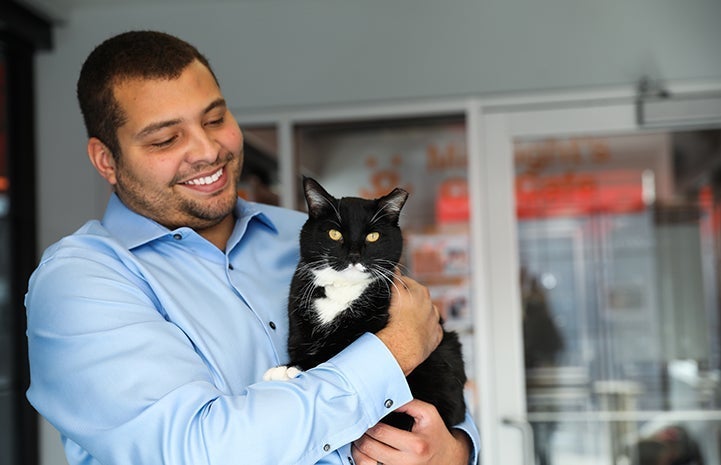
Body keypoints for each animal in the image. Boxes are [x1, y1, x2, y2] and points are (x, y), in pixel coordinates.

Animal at [266, 177, 466, 428]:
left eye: (373, 236)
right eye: (334, 233)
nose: (353, 255)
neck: (343, 289)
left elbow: (332, 356)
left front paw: (288, 369)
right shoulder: (298, 317)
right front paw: (290, 366)